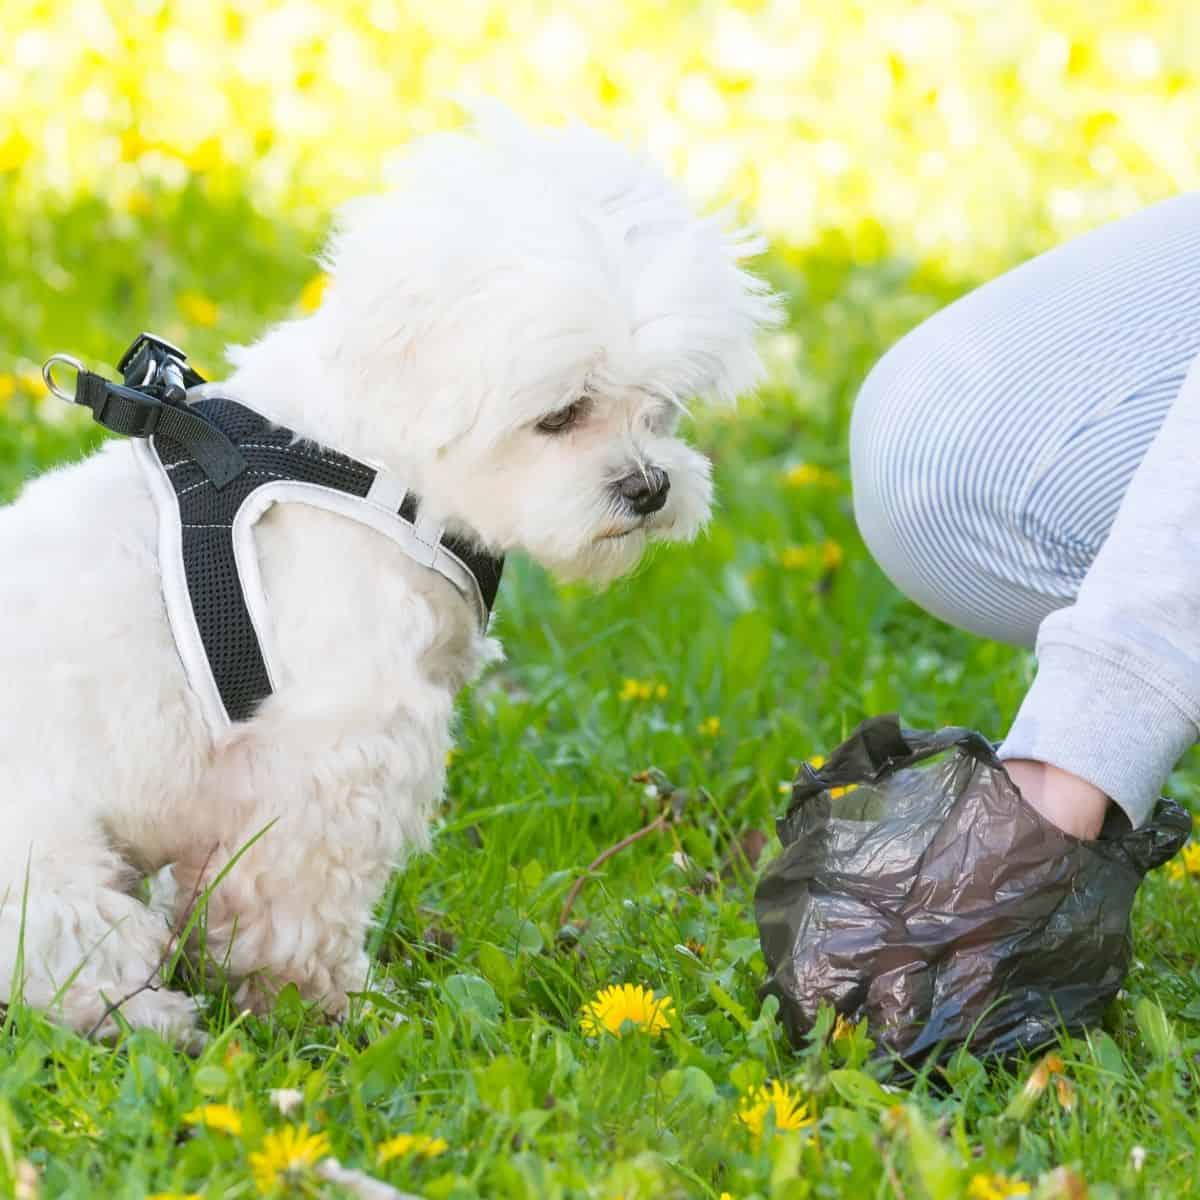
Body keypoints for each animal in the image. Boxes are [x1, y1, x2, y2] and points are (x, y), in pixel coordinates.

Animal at [2, 108, 777, 1036]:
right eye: (561, 414)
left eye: (661, 407)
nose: (650, 486)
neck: (367, 463)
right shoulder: (336, 748)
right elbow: (295, 903)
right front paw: (322, 1003)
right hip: (49, 866)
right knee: (69, 956)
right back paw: (151, 1016)